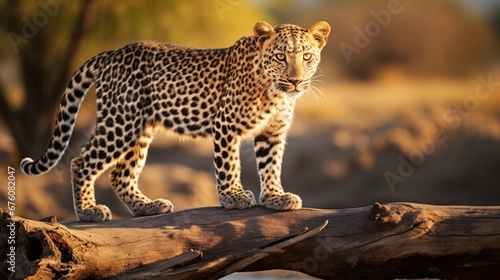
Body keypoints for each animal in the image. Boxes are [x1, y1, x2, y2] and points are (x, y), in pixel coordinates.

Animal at [20, 20, 332, 222]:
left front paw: (275, 197)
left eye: (307, 57)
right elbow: (229, 165)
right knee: (81, 161)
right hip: (121, 122)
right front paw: (233, 197)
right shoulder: (226, 124)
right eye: (280, 57)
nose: (295, 80)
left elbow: (271, 166)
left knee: (120, 174)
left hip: (140, 129)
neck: (276, 92)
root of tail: (112, 54)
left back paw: (147, 206)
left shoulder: (273, 132)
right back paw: (88, 211)